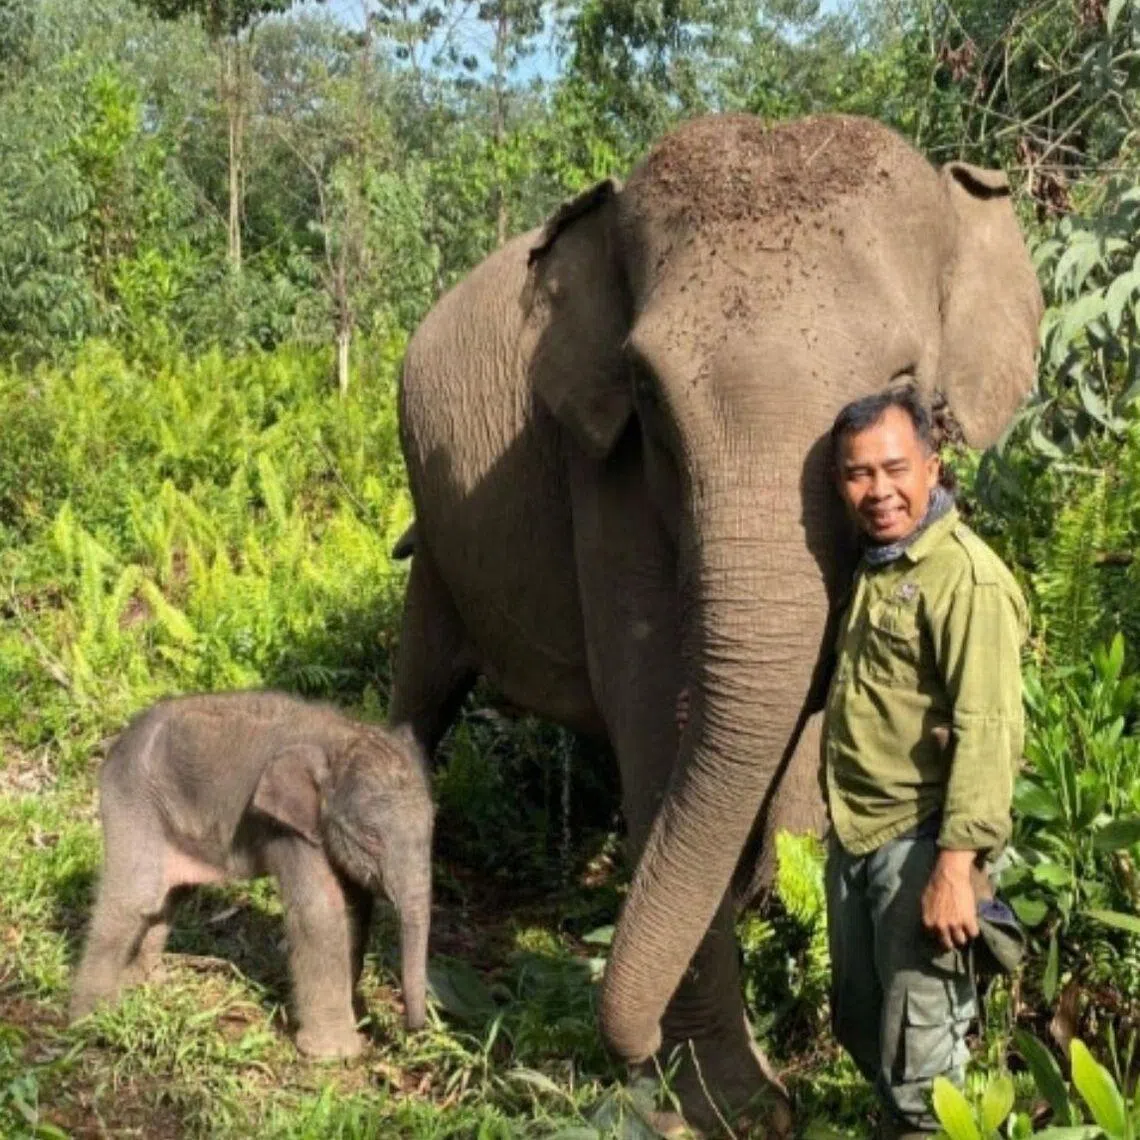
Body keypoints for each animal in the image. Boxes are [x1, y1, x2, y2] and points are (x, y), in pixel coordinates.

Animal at [70, 691, 434, 1058]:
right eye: (371, 837)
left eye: (432, 827)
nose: (412, 1028)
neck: (342, 735)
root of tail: (118, 739)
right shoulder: (286, 827)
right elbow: (321, 910)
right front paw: (334, 1054)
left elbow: (357, 907)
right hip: (133, 802)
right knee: (133, 897)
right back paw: (89, 1018)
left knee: (168, 897)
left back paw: (143, 983)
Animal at [386, 112, 1043, 1132]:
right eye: (648, 393)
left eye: (905, 381)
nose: (623, 1050)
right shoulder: (608, 482)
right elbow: (659, 721)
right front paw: (731, 1104)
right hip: (437, 527)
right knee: (422, 686)